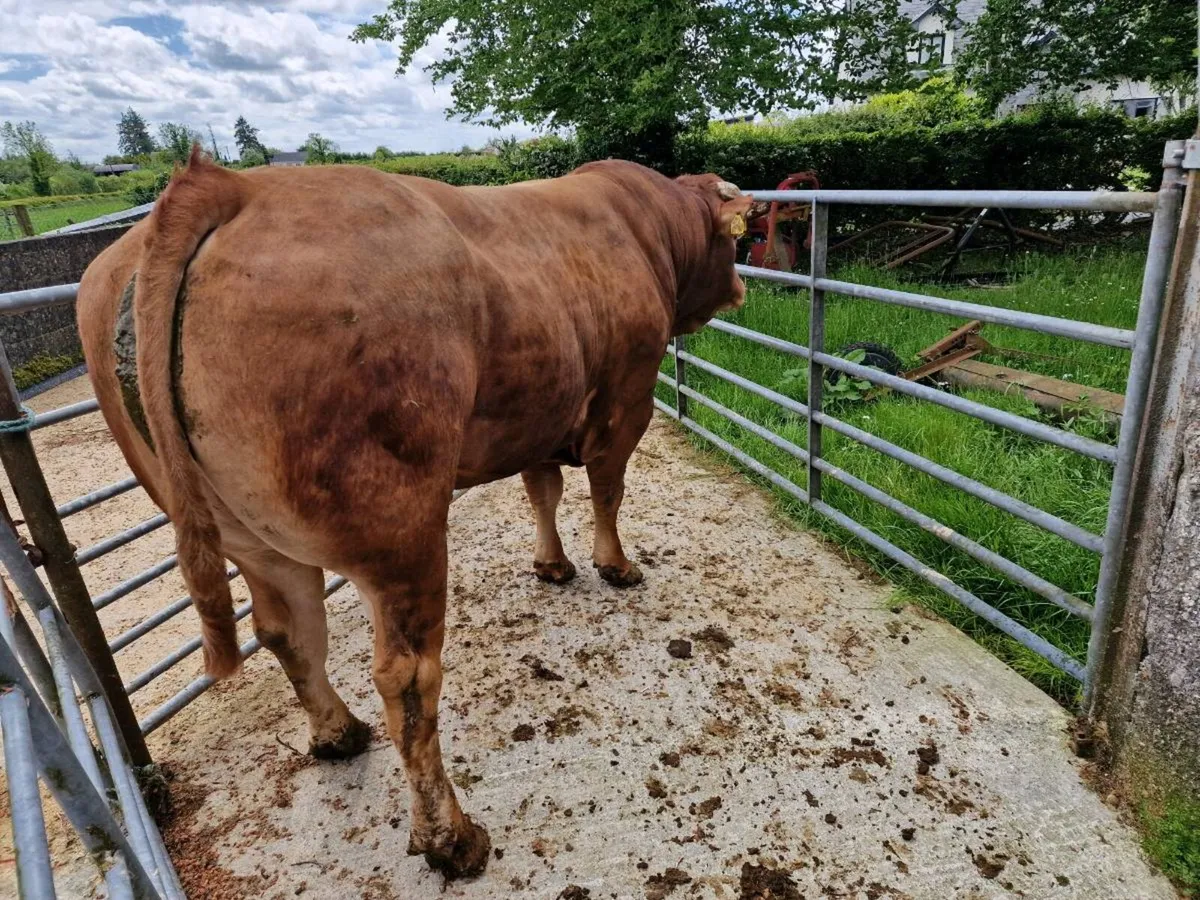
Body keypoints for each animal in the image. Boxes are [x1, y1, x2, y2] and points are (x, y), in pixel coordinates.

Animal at [77, 147, 752, 880]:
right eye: (735, 240)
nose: (742, 289)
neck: (642, 222)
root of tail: (224, 185)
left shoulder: (537, 416)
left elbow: (542, 490)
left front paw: (552, 565)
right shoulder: (627, 397)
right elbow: (606, 489)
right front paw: (615, 566)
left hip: (249, 538)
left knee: (288, 631)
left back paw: (338, 734)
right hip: (402, 532)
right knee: (406, 680)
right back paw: (450, 838)